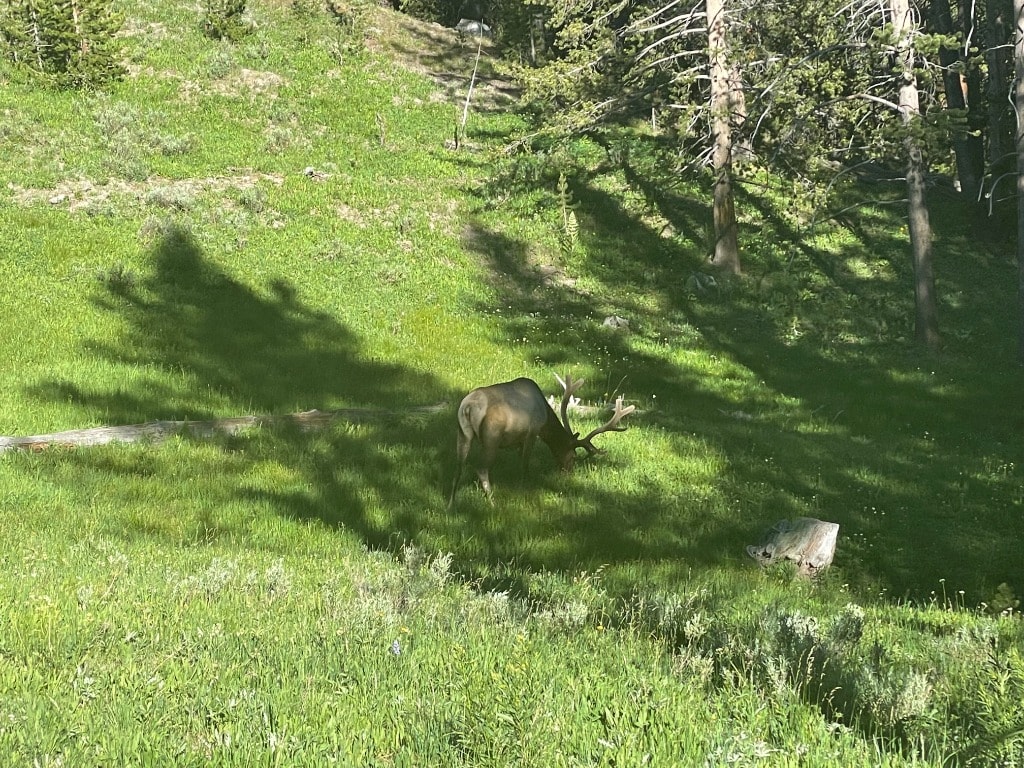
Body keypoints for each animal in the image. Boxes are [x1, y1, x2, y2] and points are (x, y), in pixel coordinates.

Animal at [448, 374, 635, 507]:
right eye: (573, 456)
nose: (568, 474)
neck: (545, 421)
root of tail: (468, 406)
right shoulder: (532, 432)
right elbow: (525, 463)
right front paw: (526, 488)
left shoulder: (520, 440)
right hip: (491, 437)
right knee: (481, 469)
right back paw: (492, 503)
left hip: (462, 433)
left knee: (458, 467)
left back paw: (451, 504)